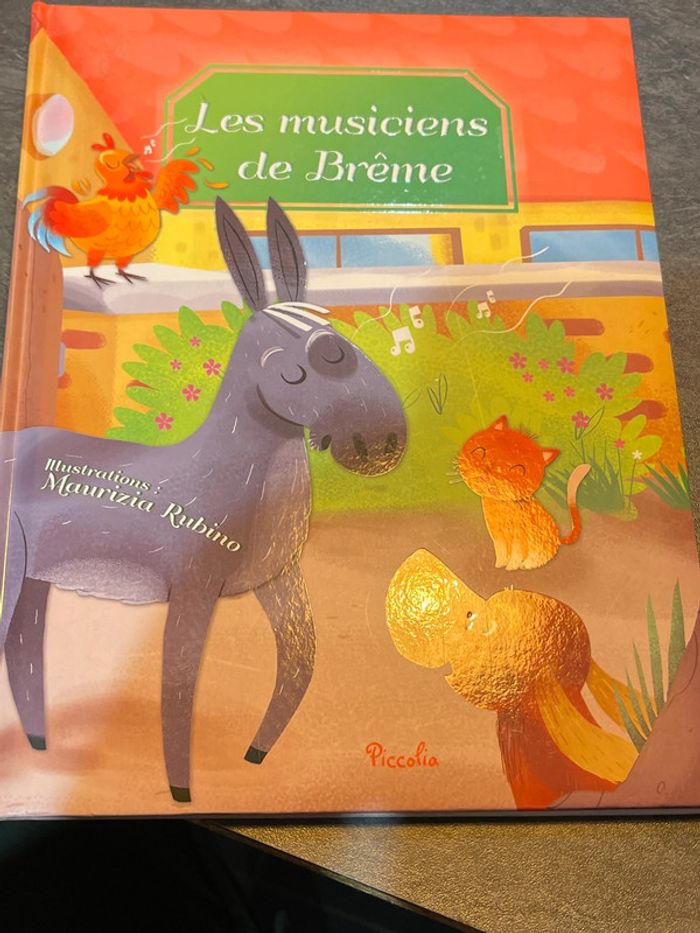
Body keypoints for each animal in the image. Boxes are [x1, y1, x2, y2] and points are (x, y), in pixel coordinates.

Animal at [0, 197, 407, 803]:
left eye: (341, 338)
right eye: (296, 368)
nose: (381, 442)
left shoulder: (278, 581)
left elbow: (302, 664)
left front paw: (255, 755)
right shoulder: (193, 589)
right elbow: (179, 686)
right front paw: (180, 791)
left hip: (34, 578)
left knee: (24, 650)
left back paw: (41, 745)